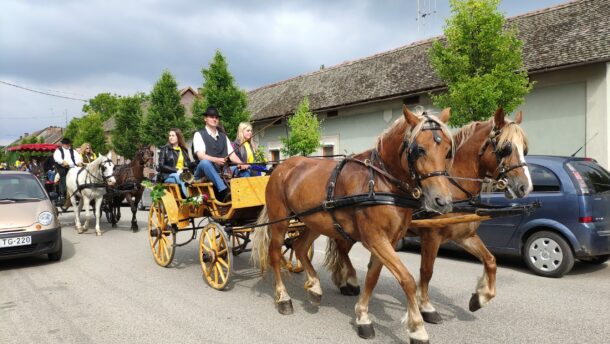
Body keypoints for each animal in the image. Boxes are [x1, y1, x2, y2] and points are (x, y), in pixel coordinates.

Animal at [253, 106, 456, 342]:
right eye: (420, 150)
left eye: (448, 151)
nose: (442, 202)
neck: (381, 182)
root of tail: (281, 167)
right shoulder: (376, 238)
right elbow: (406, 279)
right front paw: (417, 327)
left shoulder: (388, 241)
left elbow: (372, 278)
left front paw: (362, 316)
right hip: (280, 221)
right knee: (275, 254)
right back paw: (283, 297)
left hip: (314, 222)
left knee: (300, 247)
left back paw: (315, 287)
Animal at [326, 107, 528, 326]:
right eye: (506, 148)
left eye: (525, 148)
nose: (525, 187)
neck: (454, 185)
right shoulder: (431, 236)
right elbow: (427, 271)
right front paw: (426, 307)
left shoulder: (463, 235)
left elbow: (490, 260)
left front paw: (480, 298)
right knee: (342, 249)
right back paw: (349, 281)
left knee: (341, 249)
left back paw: (345, 281)